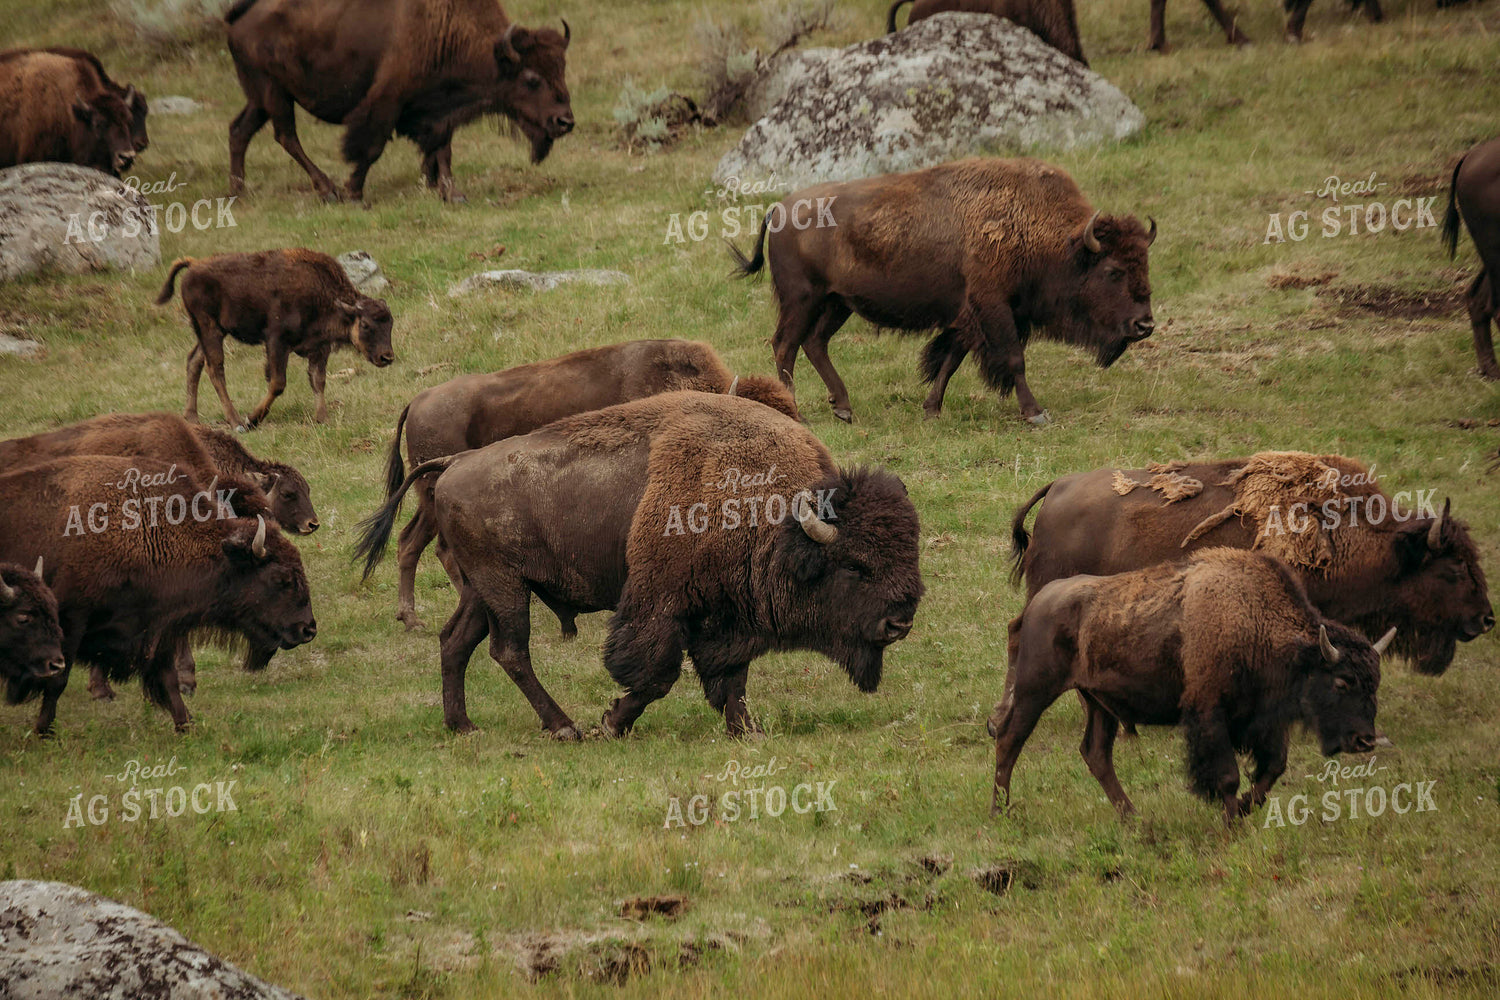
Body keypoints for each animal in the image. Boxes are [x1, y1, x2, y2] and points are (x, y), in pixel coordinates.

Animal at [158, 250, 394, 431]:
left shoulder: (319, 349)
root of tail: (193, 265)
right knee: (215, 368)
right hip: (210, 328)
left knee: (194, 361)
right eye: (365, 325)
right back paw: (236, 422)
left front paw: (322, 419)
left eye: (390, 324)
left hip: (210, 331)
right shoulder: (276, 342)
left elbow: (318, 381)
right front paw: (252, 420)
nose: (387, 357)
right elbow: (278, 383)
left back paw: (192, 417)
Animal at [224, 0, 574, 203]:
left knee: (240, 130)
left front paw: (452, 193)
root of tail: (238, 17)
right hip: (273, 91)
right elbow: (372, 147)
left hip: (261, 97)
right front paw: (354, 191)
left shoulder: (440, 113)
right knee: (286, 136)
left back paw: (238, 191)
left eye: (562, 68)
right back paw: (329, 190)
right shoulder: (387, 102)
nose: (565, 121)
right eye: (532, 78)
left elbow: (443, 150)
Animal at [356, 391, 923, 738]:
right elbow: (656, 675)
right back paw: (564, 727)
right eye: (855, 567)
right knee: (510, 651)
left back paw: (463, 725)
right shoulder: (662, 606)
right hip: (504, 587)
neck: (774, 515)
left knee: (457, 642)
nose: (900, 623)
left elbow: (731, 678)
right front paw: (612, 723)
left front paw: (747, 730)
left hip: (482, 590)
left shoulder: (728, 618)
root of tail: (455, 463)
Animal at [732, 157, 1156, 426]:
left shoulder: (969, 314)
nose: (1145, 325)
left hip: (838, 303)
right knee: (785, 345)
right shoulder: (994, 307)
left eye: (1145, 263)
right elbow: (1013, 359)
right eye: (1113, 271)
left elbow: (950, 360)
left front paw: (931, 410)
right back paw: (798, 413)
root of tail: (778, 208)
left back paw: (844, 408)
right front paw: (1036, 413)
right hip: (802, 299)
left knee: (814, 343)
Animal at [989, 548, 1394, 824]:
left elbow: (1272, 769)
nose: (1364, 740)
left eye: (1374, 684)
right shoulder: (1209, 712)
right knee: (1010, 740)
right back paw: (1001, 812)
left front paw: (1243, 810)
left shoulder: (1267, 720)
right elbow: (1227, 776)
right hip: (1034, 691)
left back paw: (1133, 818)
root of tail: (1038, 603)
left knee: (1096, 754)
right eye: (1342, 681)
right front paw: (1232, 822)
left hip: (1099, 703)